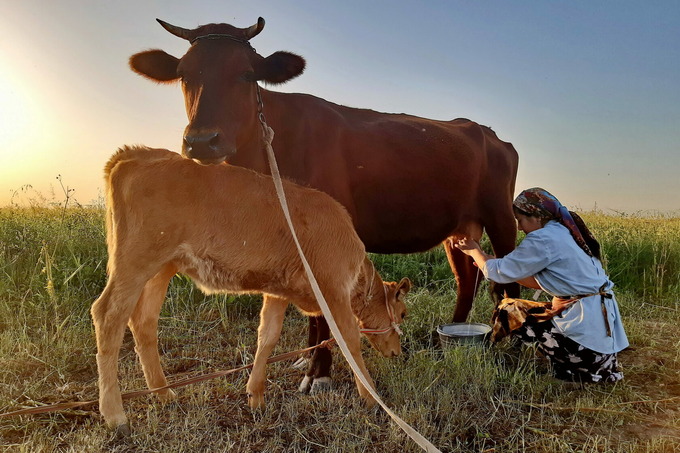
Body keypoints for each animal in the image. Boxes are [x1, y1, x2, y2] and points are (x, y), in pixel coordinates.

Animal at [90, 147, 410, 432]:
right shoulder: (333, 290)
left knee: (143, 321)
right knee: (108, 315)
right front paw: (372, 398)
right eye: (404, 313)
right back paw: (115, 414)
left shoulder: (278, 292)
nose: (398, 352)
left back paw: (162, 392)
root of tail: (137, 152)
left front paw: (255, 395)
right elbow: (350, 341)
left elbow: (267, 336)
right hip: (136, 259)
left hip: (162, 267)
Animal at [129, 16, 520, 392]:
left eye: (246, 73)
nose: (201, 141)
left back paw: (514, 349)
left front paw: (319, 373)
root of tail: (487, 132)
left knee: (509, 279)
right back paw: (447, 342)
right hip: (459, 228)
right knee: (467, 278)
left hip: (502, 215)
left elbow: (324, 312)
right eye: (184, 74)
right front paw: (306, 359)